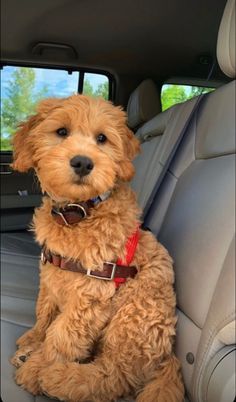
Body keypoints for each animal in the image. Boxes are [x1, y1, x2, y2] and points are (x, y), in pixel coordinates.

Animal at [10, 96, 184, 402]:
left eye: (102, 138)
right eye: (62, 132)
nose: (82, 162)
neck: (79, 211)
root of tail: (166, 358)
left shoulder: (91, 295)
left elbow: (61, 336)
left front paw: (36, 369)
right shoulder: (51, 275)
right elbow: (44, 311)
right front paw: (33, 340)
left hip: (131, 319)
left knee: (113, 376)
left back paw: (59, 378)